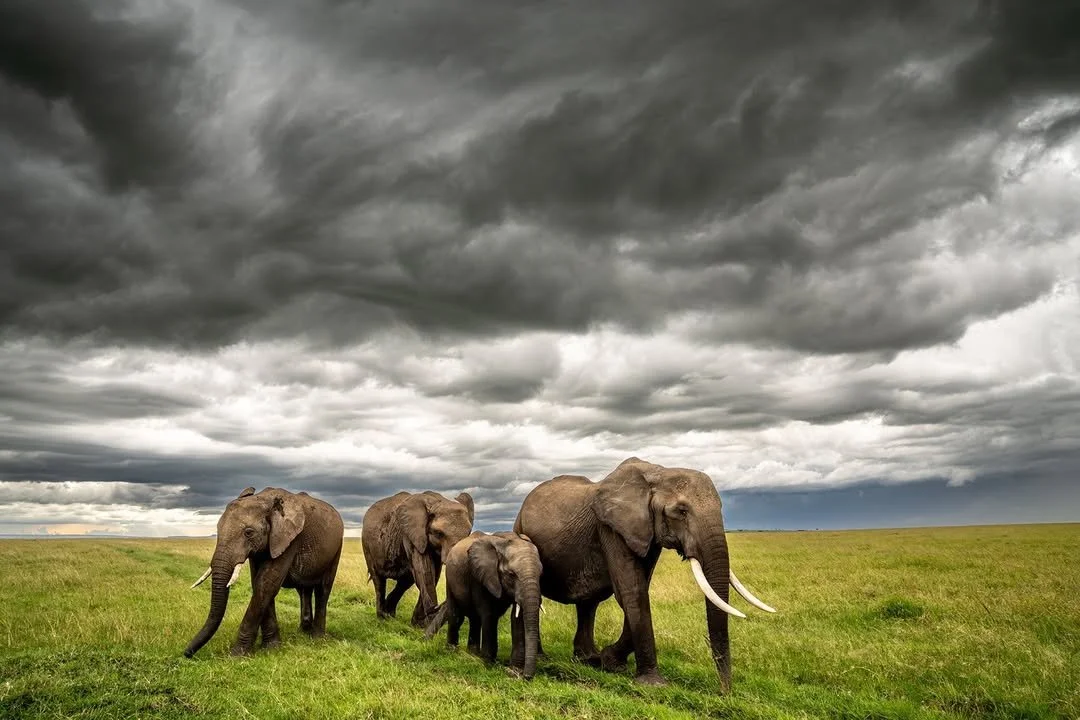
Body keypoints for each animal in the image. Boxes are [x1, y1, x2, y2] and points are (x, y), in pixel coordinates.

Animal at [184, 486, 344, 658]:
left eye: (248, 532)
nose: (186, 654)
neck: (265, 499)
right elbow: (259, 582)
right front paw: (271, 648)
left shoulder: (291, 539)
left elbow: (266, 583)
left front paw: (236, 655)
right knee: (304, 589)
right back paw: (303, 631)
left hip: (336, 548)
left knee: (323, 589)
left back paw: (317, 639)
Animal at [361, 490, 475, 627]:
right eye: (439, 533)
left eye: (468, 533)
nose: (436, 607)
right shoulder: (412, 534)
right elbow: (425, 571)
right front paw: (422, 624)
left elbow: (434, 574)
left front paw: (418, 625)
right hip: (367, 545)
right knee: (379, 581)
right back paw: (382, 617)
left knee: (404, 582)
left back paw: (390, 615)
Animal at [424, 531, 544, 679]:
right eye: (511, 574)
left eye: (541, 574)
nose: (526, 677)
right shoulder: (479, 576)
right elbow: (489, 615)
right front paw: (489, 664)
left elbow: (518, 617)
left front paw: (512, 669)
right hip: (450, 579)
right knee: (456, 617)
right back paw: (452, 651)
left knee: (474, 619)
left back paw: (473, 653)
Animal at [513, 457, 775, 692]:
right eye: (681, 511)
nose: (724, 691)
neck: (659, 472)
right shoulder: (611, 528)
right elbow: (632, 591)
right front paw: (652, 684)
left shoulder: (647, 532)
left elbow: (640, 588)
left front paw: (610, 662)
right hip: (521, 529)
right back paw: (547, 658)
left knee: (589, 603)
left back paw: (587, 658)